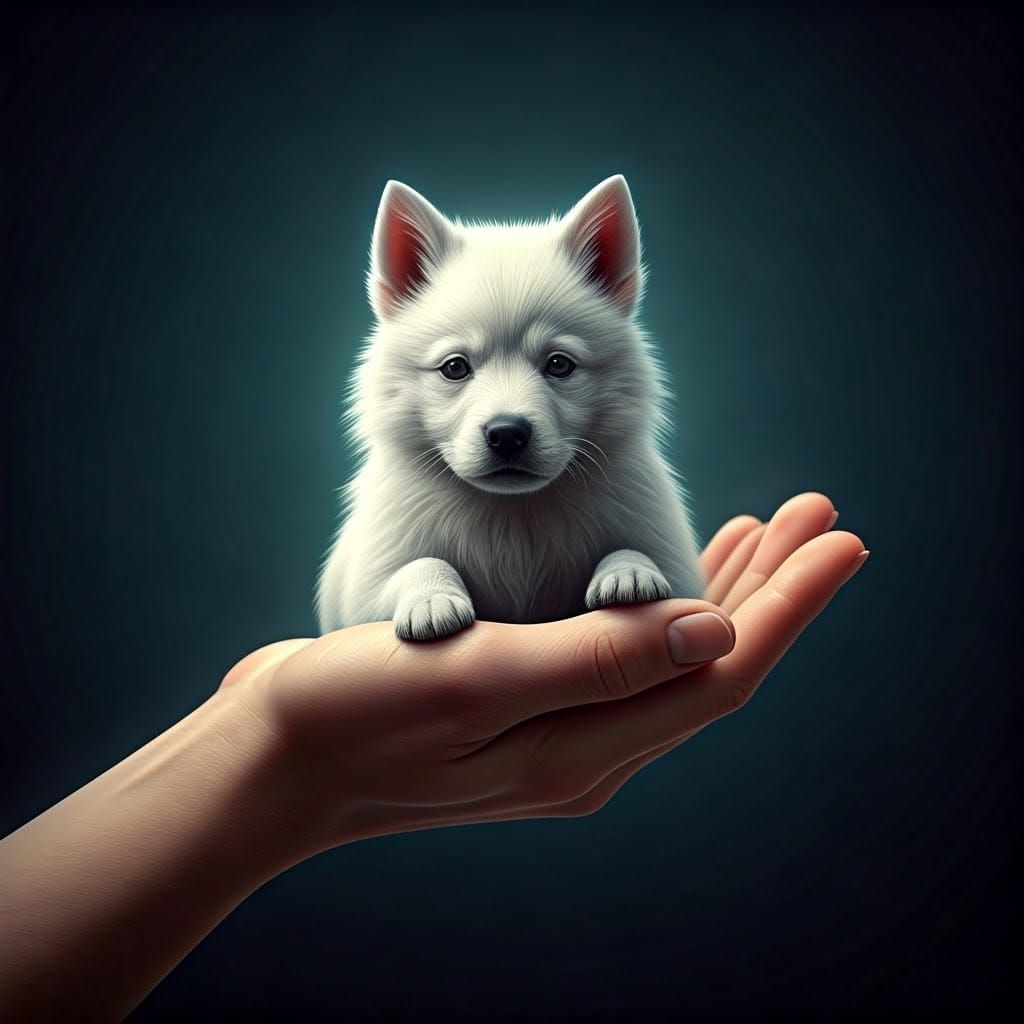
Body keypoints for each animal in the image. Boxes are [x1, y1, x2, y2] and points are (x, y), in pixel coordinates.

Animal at [316, 174, 705, 640]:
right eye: (455, 367)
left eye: (559, 364)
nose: (507, 434)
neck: (513, 515)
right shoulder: (362, 592)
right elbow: (421, 563)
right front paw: (431, 598)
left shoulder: (672, 557)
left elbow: (635, 550)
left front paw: (629, 571)